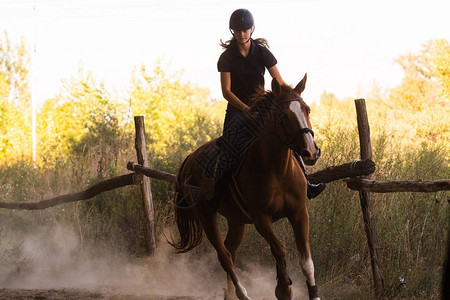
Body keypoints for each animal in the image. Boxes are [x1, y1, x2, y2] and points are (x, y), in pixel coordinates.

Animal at [171, 73, 322, 300]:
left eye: (307, 109)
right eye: (284, 116)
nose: (310, 152)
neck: (278, 170)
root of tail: (189, 159)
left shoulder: (299, 213)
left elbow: (307, 261)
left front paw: (312, 293)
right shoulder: (261, 218)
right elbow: (279, 248)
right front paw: (283, 288)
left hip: (236, 220)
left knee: (230, 251)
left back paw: (230, 295)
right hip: (205, 215)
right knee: (224, 256)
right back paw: (242, 294)